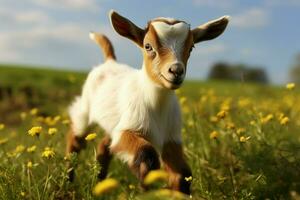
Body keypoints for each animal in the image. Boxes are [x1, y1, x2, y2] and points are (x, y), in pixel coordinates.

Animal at [66, 10, 230, 195]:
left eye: (191, 47)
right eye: (148, 46)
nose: (176, 71)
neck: (156, 104)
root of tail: (110, 61)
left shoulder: (171, 138)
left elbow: (182, 174)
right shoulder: (129, 128)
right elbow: (147, 157)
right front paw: (146, 188)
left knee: (104, 145)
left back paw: (100, 183)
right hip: (85, 109)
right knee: (75, 138)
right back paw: (69, 181)